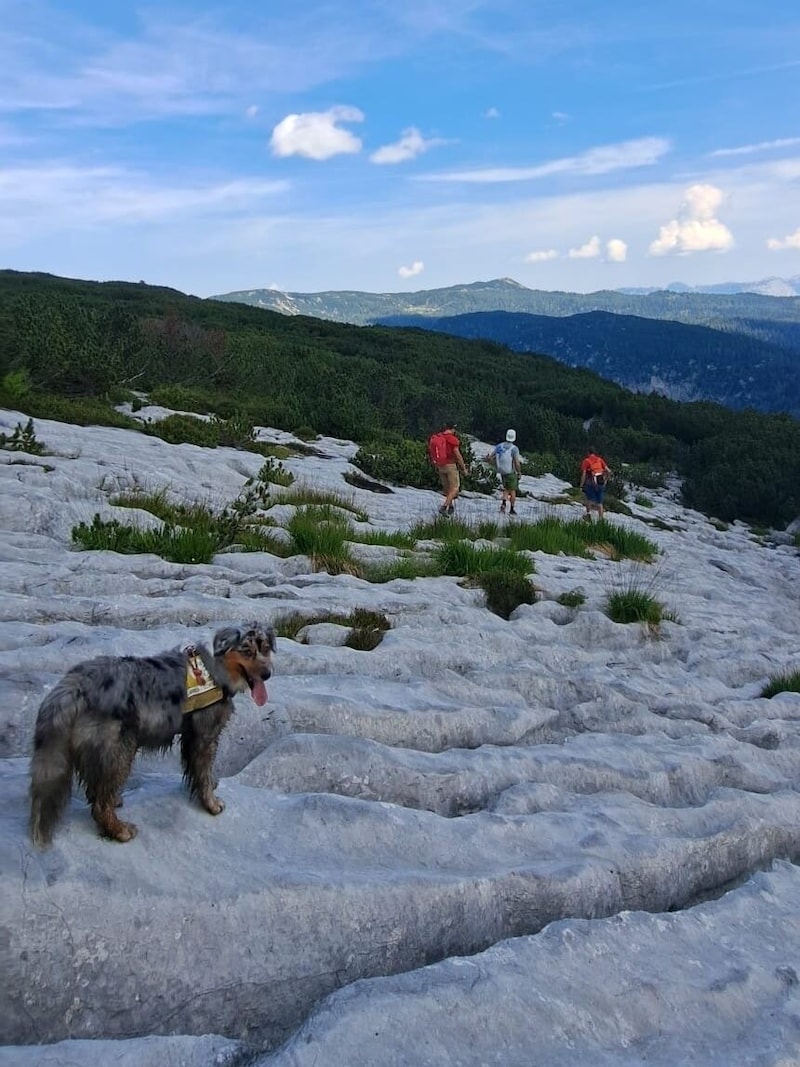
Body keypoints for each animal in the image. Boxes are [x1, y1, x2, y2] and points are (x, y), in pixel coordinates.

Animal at [28, 623, 275, 845]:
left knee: (96, 791)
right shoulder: (205, 735)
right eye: (246, 650)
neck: (215, 666)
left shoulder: (191, 735)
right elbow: (203, 773)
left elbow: (197, 771)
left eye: (265, 649)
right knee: (99, 803)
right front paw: (211, 804)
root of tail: (74, 684)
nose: (267, 674)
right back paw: (119, 830)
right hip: (119, 749)